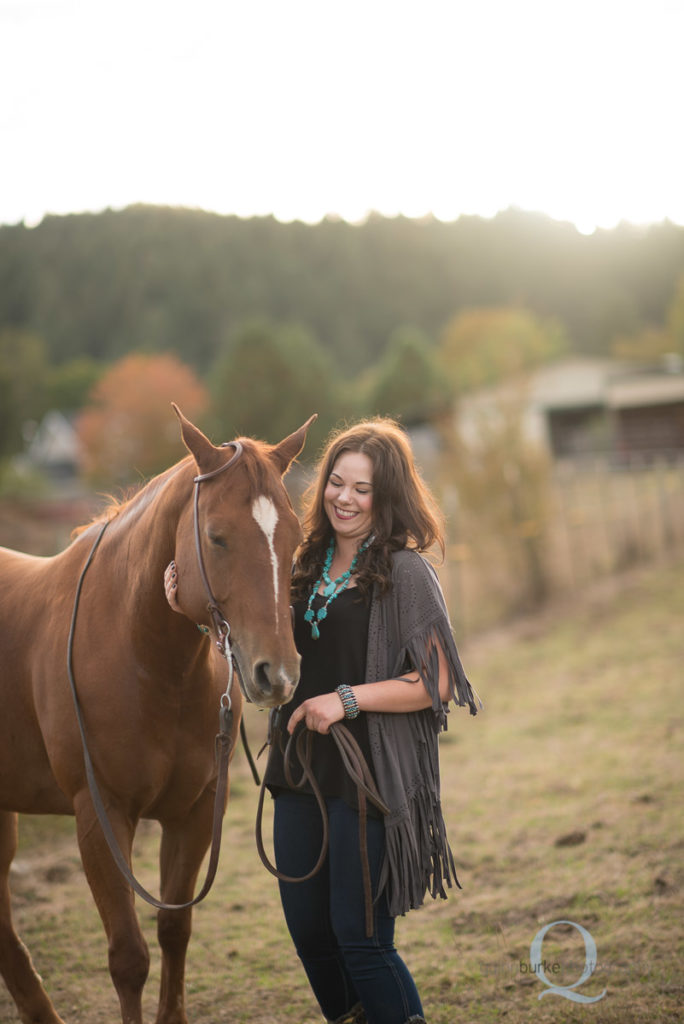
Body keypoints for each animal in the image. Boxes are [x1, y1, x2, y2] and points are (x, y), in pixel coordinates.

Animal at [0, 407, 313, 1024]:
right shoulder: (99, 817)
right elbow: (129, 957)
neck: (142, 654)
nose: (279, 673)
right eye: (217, 537)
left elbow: (174, 929)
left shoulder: (192, 813)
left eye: (294, 537)